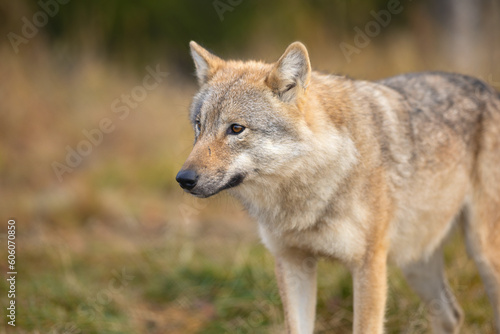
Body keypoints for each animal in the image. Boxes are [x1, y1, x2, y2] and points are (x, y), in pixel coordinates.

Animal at [176, 41, 500, 334]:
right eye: (199, 125)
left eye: (236, 129)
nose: (183, 178)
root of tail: (489, 88)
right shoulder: (292, 263)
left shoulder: (369, 266)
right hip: (416, 263)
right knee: (452, 315)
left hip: (482, 254)